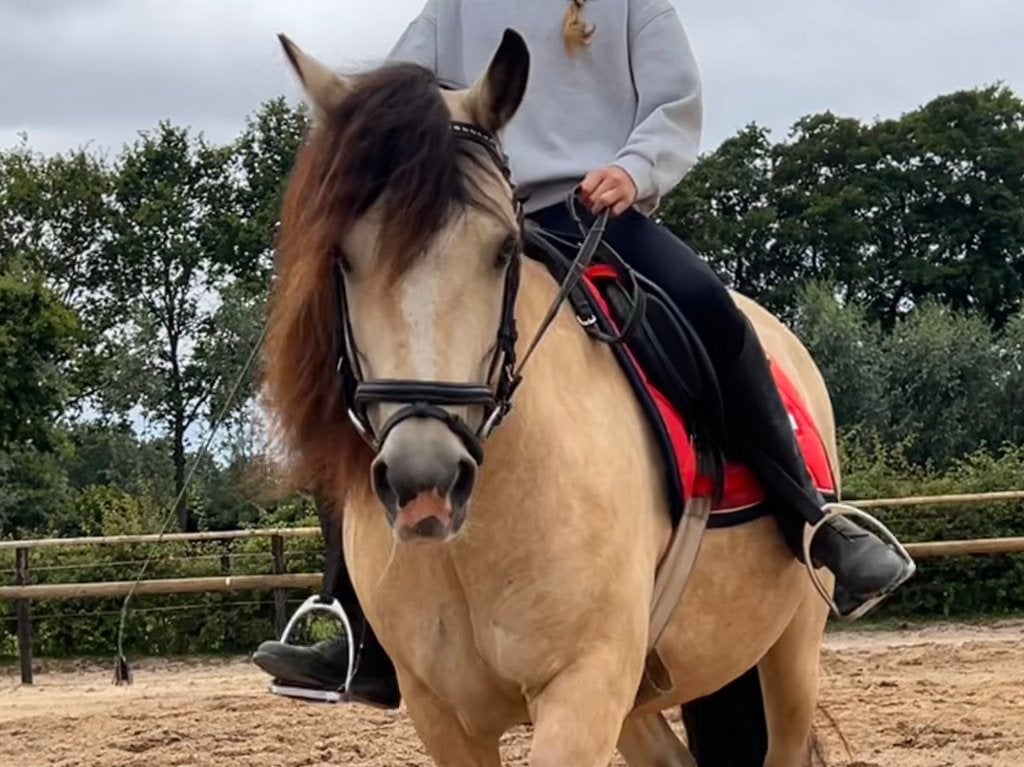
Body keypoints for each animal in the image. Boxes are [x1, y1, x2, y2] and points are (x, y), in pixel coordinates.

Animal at [263, 28, 835, 767]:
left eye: (503, 249)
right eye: (342, 257)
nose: (427, 482)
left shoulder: (582, 687)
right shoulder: (442, 712)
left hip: (790, 650)